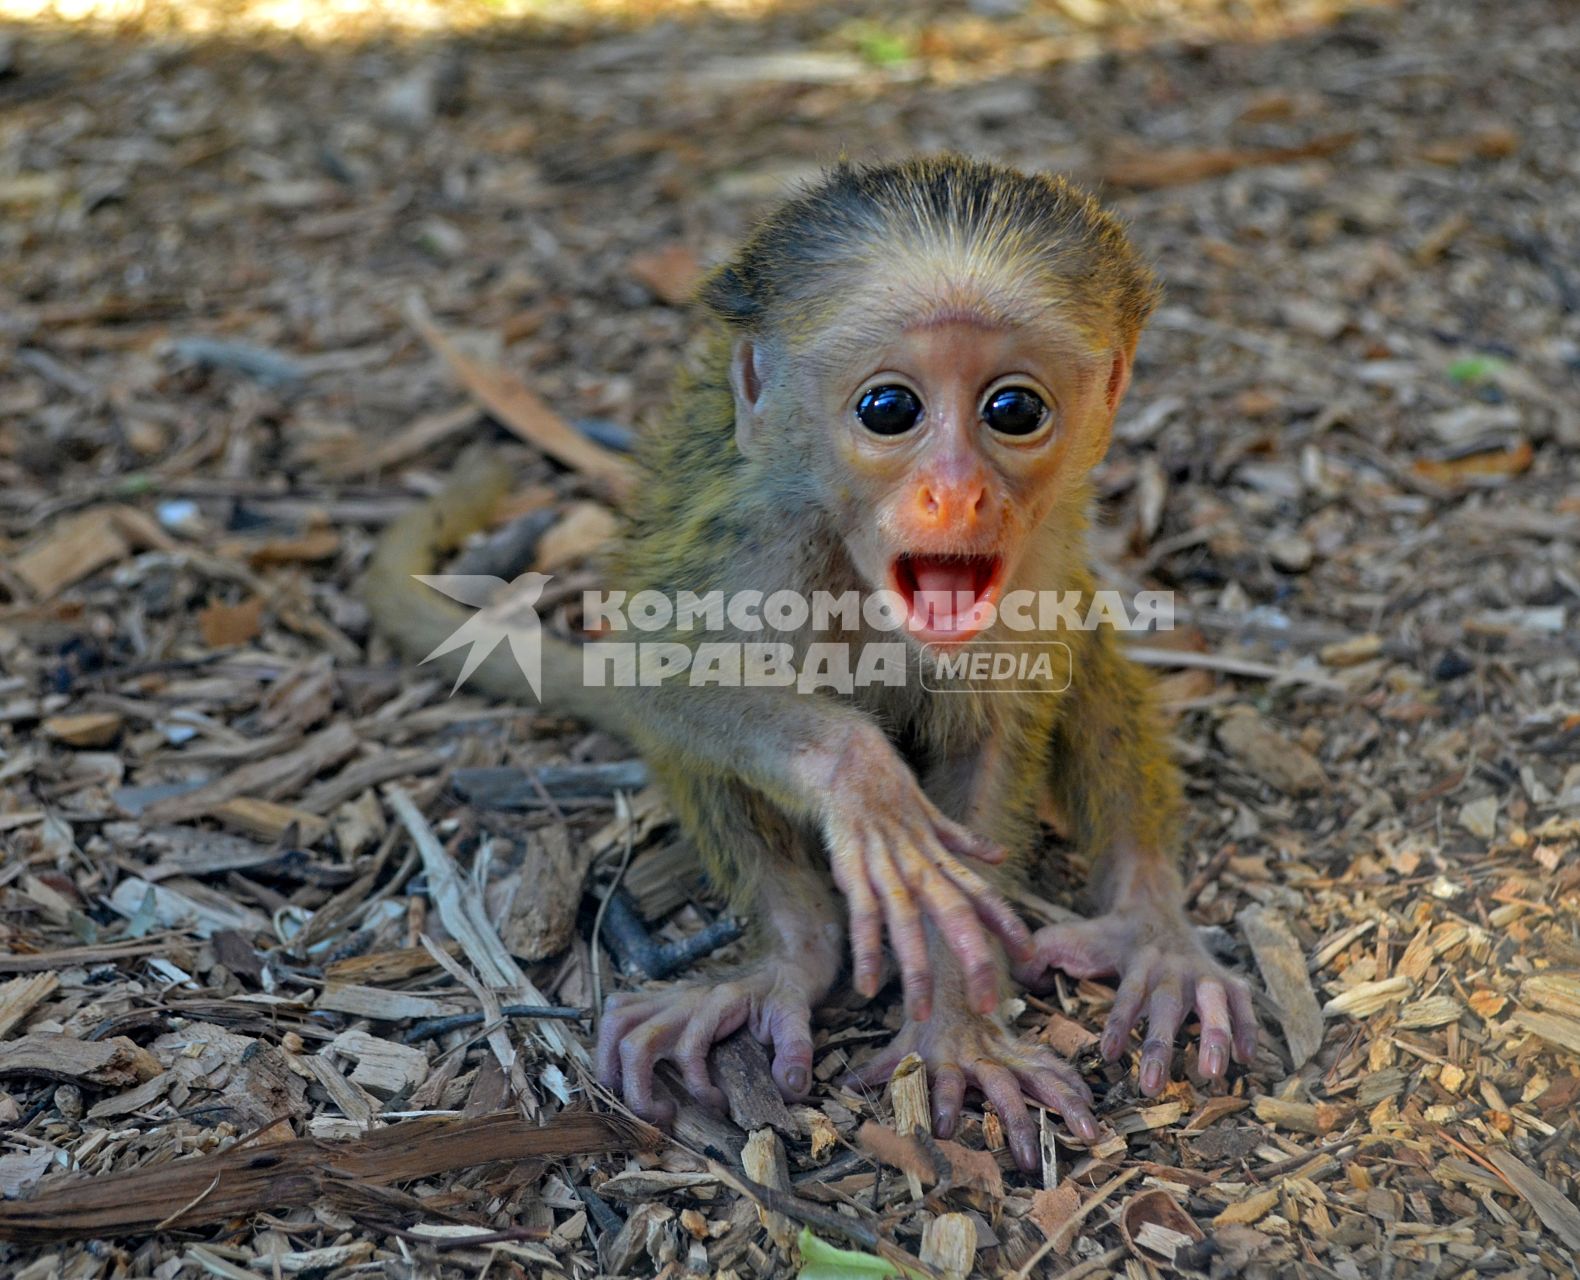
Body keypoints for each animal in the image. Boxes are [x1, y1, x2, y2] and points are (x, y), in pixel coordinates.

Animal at [363, 152, 1251, 1169]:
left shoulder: (1029, 575)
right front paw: (861, 781)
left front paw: (959, 1029)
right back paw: (793, 956)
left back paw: (1153, 928)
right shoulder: (761, 541)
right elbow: (661, 676)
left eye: (1014, 410)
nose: (956, 494)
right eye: (889, 409)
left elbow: (994, 739)